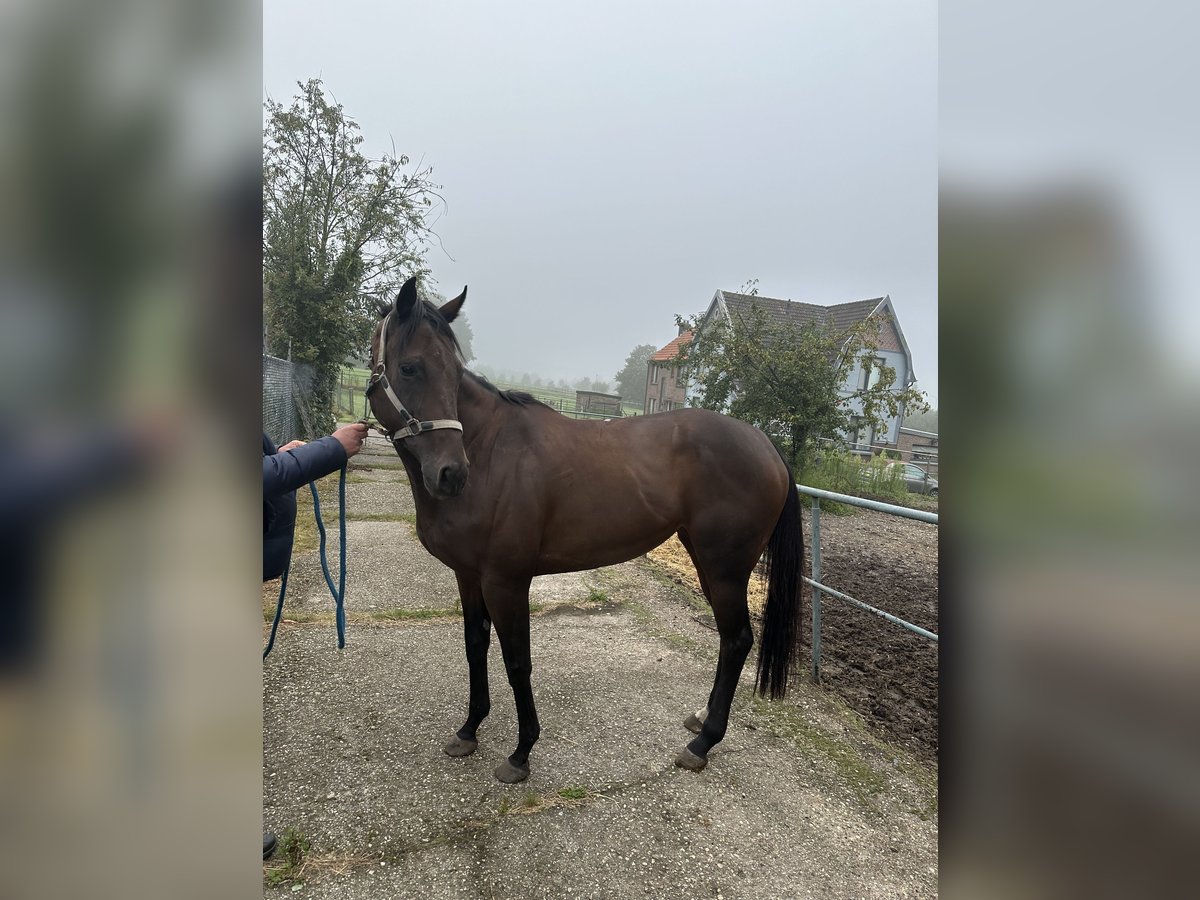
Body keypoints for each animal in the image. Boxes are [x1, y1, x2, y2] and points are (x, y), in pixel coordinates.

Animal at [364, 278, 796, 787]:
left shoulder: (506, 581)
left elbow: (517, 661)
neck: (490, 451)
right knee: (730, 641)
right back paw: (701, 722)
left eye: (453, 373)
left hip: (726, 568)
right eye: (410, 367)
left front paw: (521, 753)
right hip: (707, 563)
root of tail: (765, 444)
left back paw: (702, 744)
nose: (451, 474)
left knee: (738, 640)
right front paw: (469, 730)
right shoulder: (468, 576)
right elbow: (475, 648)